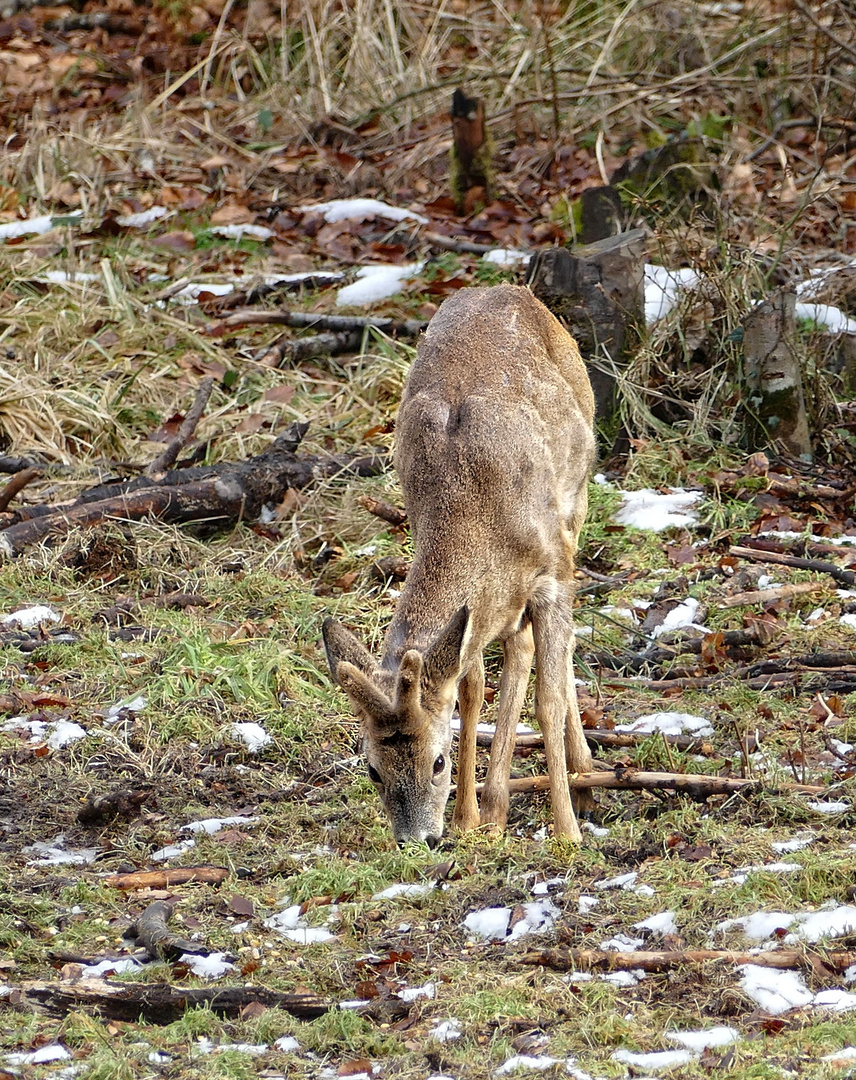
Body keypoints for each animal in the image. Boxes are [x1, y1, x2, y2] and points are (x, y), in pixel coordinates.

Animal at [321, 285, 595, 842]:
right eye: (372, 769)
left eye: (438, 762)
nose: (417, 839)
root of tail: (512, 288)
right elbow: (470, 690)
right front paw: (470, 818)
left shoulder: (553, 574)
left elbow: (548, 700)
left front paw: (568, 833)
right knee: (512, 653)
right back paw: (493, 806)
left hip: (577, 496)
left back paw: (581, 771)